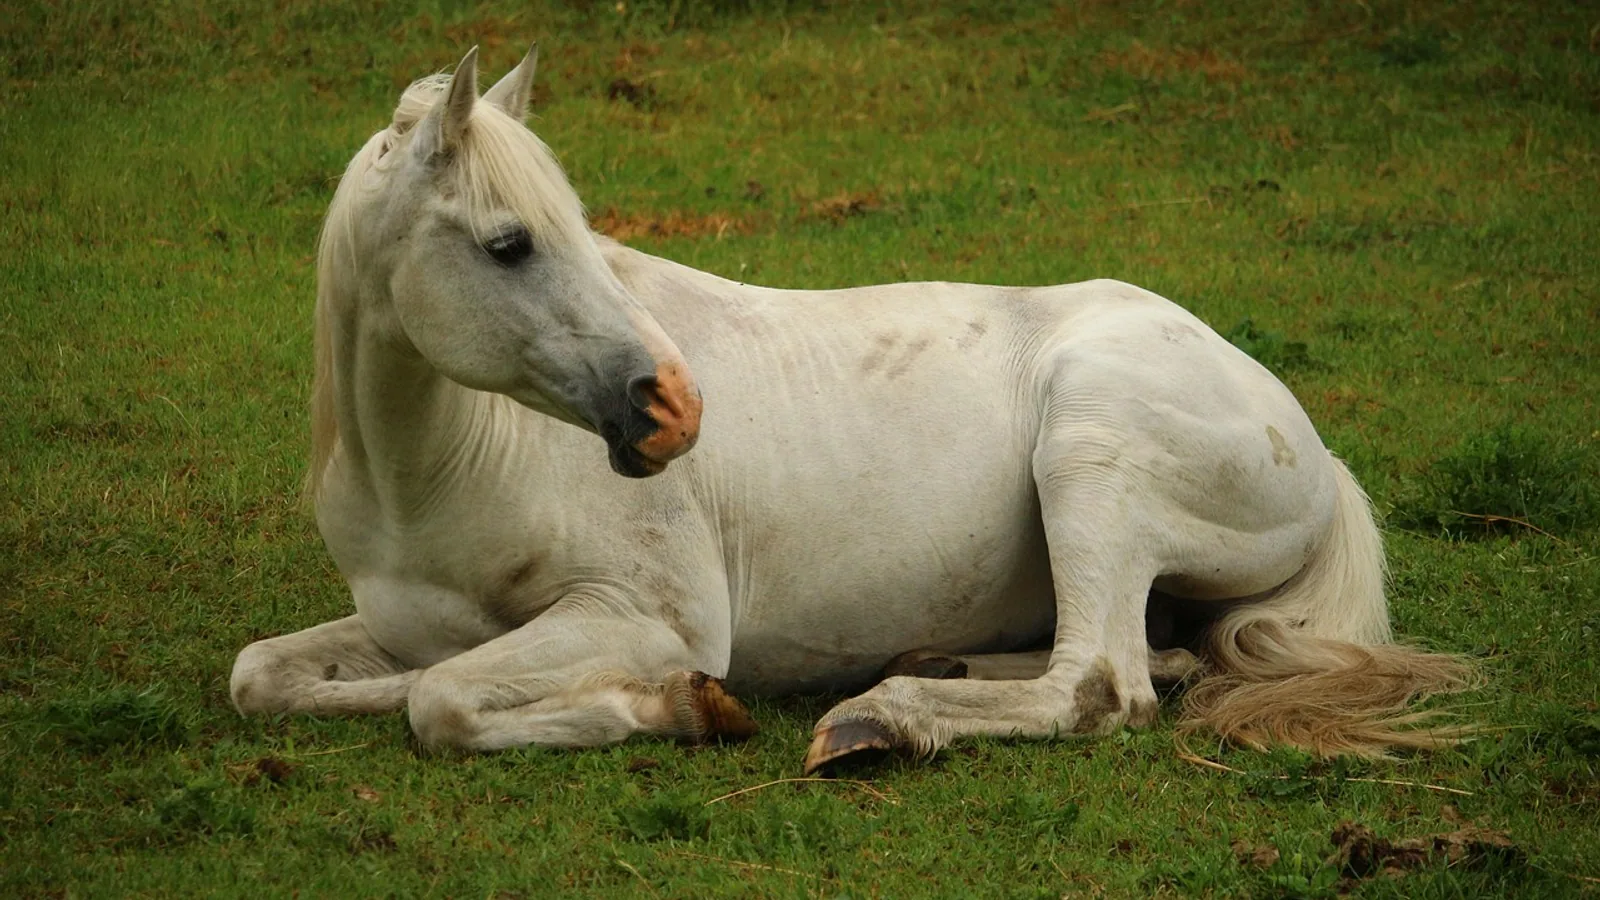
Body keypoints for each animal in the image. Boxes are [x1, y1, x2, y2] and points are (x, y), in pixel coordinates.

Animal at [229, 46, 1473, 771]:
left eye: (569, 230)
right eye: (508, 243)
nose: (674, 409)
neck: (434, 473)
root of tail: (1307, 442)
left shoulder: (648, 614)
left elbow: (440, 701)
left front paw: (682, 705)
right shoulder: (402, 623)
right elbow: (275, 677)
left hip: (1090, 457)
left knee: (1097, 686)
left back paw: (889, 717)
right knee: (1139, 661)